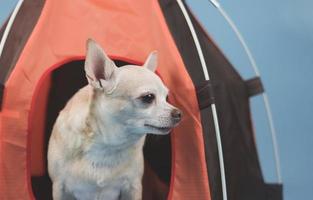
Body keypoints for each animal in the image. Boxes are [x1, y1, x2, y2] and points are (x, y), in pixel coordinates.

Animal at [47, 39, 182, 200]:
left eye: (166, 97)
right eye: (148, 97)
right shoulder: (60, 187)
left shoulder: (132, 187)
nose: (178, 113)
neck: (107, 146)